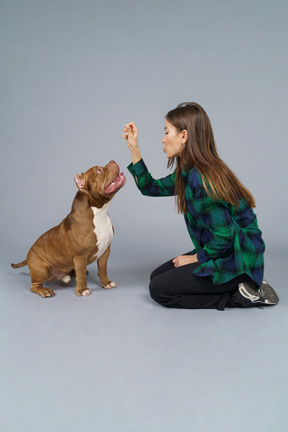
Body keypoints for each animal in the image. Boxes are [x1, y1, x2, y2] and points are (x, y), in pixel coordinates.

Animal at [11, 160, 126, 298]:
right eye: (99, 170)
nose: (112, 161)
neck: (99, 213)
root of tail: (28, 256)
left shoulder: (105, 251)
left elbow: (103, 269)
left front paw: (106, 283)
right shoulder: (80, 256)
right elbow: (81, 275)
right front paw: (82, 289)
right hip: (41, 269)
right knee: (34, 286)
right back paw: (45, 290)